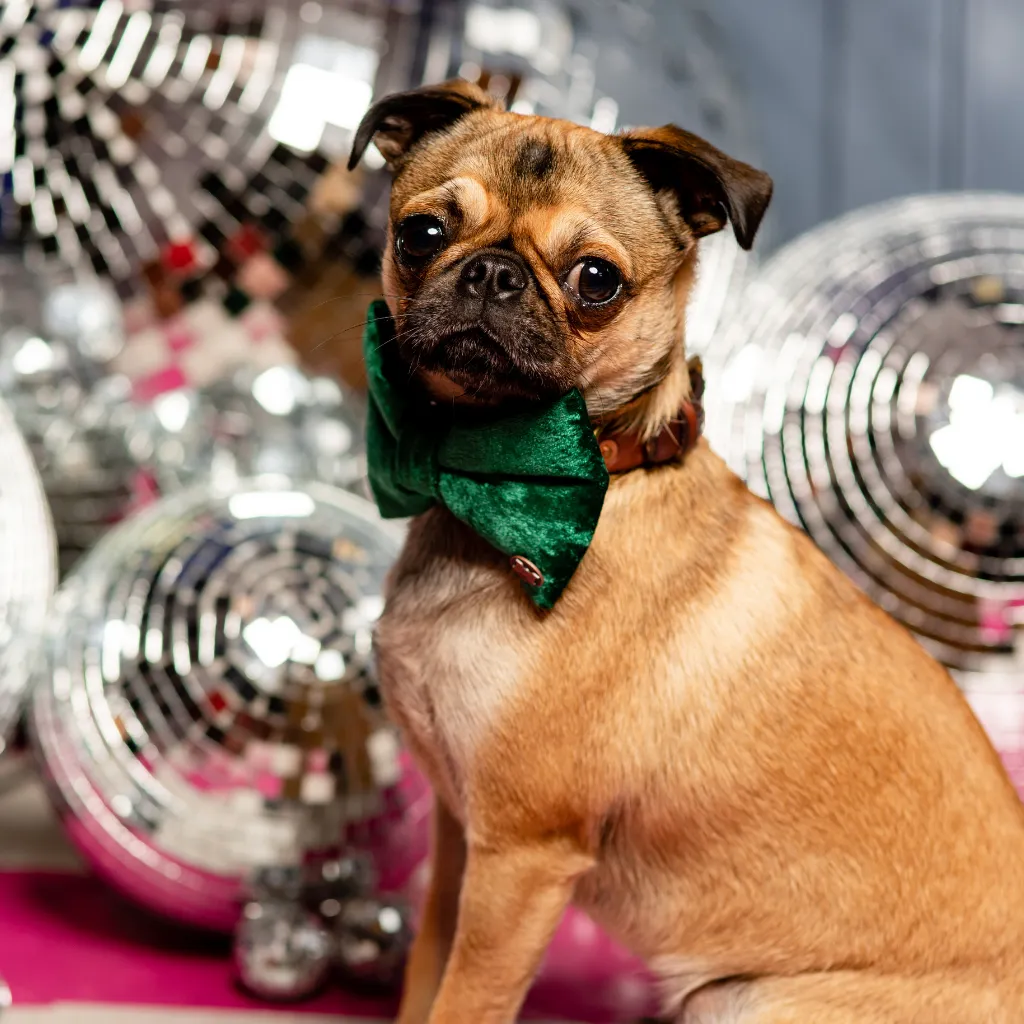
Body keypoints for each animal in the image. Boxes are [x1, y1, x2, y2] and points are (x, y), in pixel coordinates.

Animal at [346, 81, 1024, 1024]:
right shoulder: (460, 839)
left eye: (596, 280)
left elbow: (464, 1002)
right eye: (421, 234)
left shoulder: (519, 860)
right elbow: (425, 979)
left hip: (744, 1000)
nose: (491, 272)